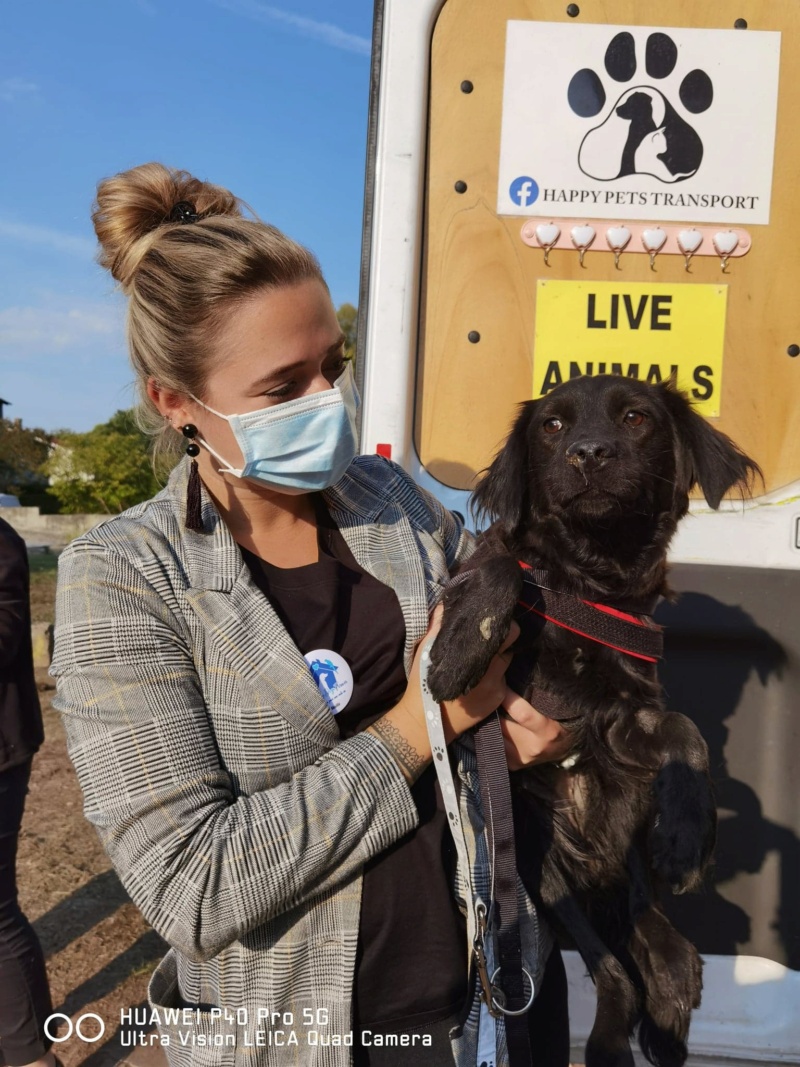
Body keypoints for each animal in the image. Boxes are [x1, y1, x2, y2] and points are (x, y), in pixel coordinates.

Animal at [428, 375, 759, 1067]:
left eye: (636, 419)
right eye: (552, 426)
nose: (588, 454)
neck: (586, 584)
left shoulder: (619, 721)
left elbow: (685, 730)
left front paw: (687, 835)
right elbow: (502, 563)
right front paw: (459, 648)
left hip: (612, 855)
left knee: (653, 939)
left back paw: (666, 995)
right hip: (539, 863)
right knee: (617, 975)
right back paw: (617, 1037)